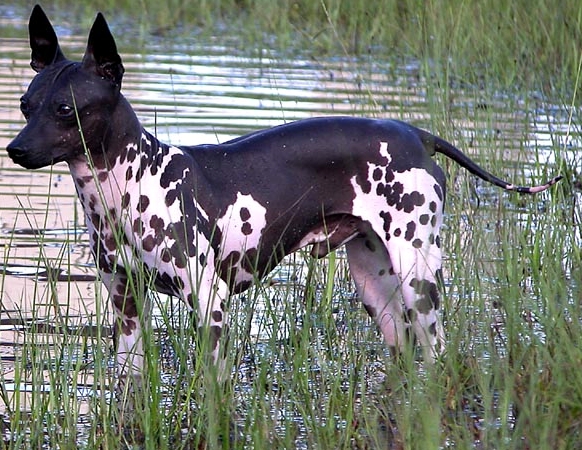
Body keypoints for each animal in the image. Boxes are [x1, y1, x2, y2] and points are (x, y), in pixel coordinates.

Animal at [5, 5, 564, 396]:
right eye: (25, 105)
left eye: (65, 109)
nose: (14, 149)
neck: (128, 184)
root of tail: (415, 135)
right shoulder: (125, 308)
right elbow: (128, 388)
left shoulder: (210, 305)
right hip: (376, 289)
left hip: (418, 278)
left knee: (440, 353)